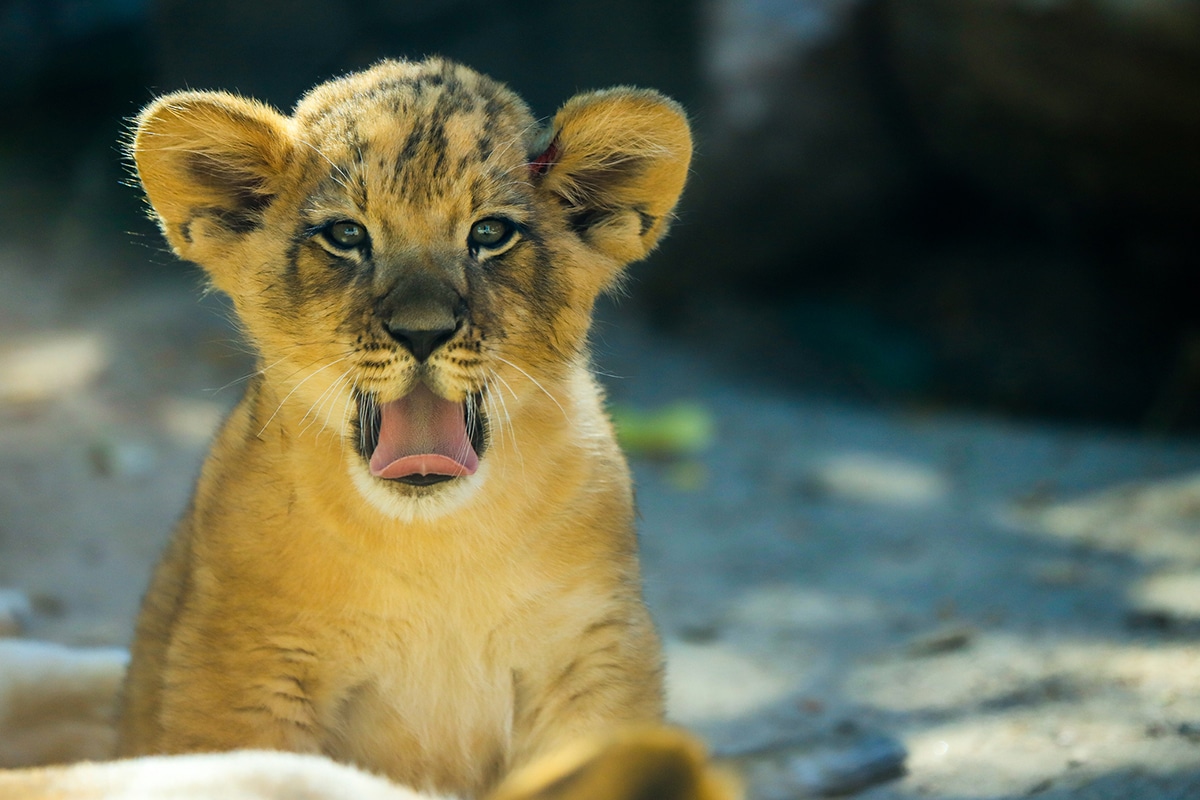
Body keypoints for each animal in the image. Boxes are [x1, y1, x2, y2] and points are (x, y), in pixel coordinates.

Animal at [109, 57, 691, 799]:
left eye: (490, 234)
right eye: (347, 236)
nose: (422, 332)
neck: (432, 545)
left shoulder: (593, 654)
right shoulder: (244, 665)